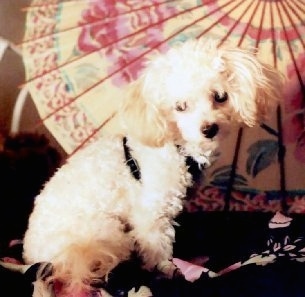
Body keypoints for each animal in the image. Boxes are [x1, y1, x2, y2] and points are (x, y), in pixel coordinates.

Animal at [22, 38, 282, 294]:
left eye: (220, 96)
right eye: (180, 106)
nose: (209, 129)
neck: (177, 147)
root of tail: (35, 256)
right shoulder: (152, 214)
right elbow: (157, 249)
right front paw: (166, 271)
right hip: (107, 231)